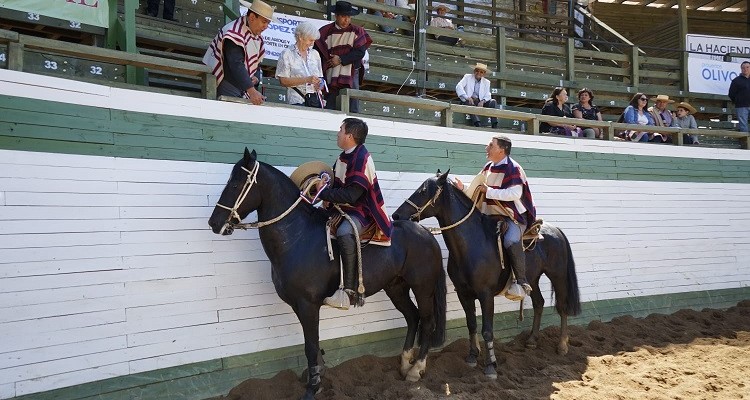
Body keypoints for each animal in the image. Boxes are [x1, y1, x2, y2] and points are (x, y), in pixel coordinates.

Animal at [207, 148, 446, 398]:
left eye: (235, 184)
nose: (214, 222)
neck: (297, 236)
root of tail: (426, 232)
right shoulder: (298, 305)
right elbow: (311, 343)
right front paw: (317, 376)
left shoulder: (308, 304)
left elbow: (311, 345)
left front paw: (313, 387)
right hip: (396, 287)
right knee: (412, 316)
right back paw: (405, 364)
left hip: (422, 287)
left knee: (427, 321)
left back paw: (416, 369)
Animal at [390, 170, 584, 380]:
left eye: (423, 190)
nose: (396, 215)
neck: (472, 243)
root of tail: (555, 230)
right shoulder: (464, 293)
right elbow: (472, 324)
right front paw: (472, 356)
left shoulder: (486, 294)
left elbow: (487, 330)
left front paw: (491, 366)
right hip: (532, 279)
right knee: (539, 303)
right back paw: (532, 340)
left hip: (558, 276)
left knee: (562, 307)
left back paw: (562, 345)